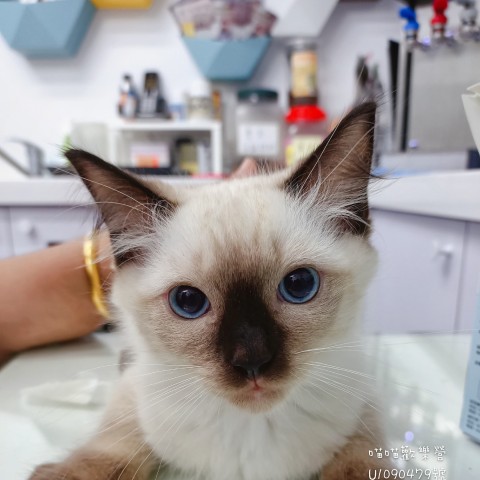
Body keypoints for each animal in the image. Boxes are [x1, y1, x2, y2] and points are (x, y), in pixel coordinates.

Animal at [30, 102, 390, 480]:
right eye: (188, 302)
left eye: (299, 285)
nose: (252, 362)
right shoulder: (133, 397)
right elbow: (110, 448)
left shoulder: (364, 403)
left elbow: (360, 460)